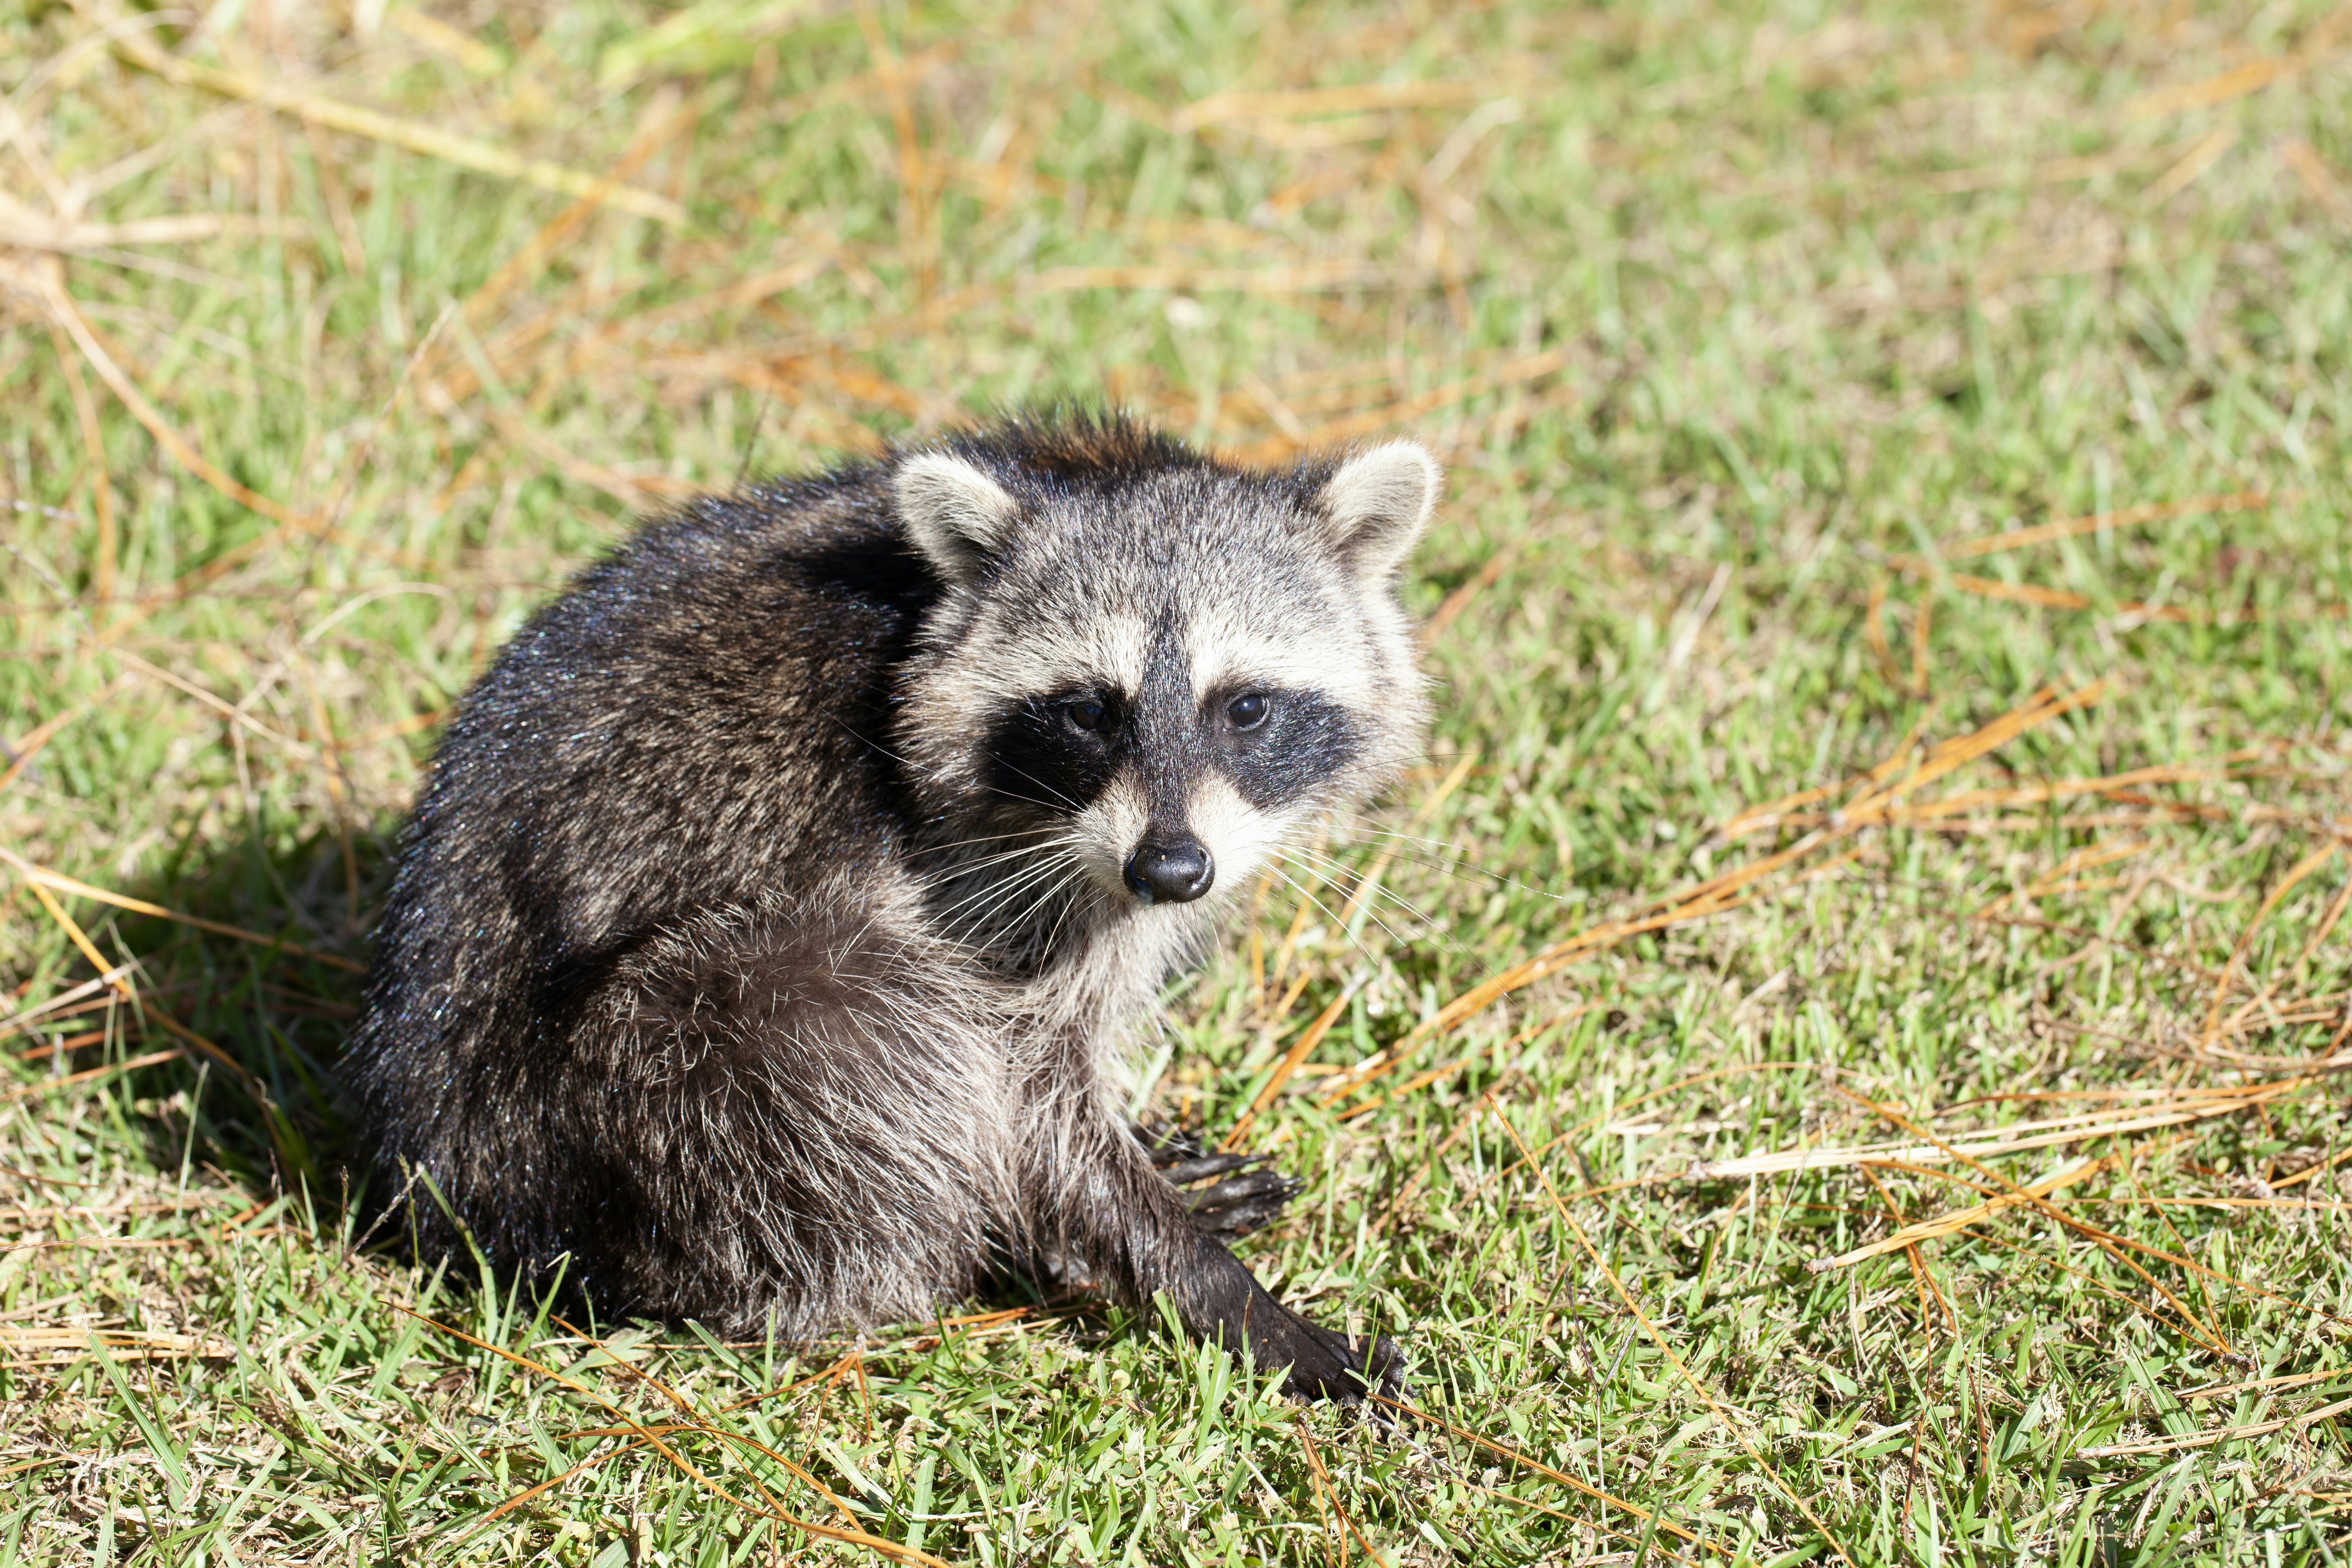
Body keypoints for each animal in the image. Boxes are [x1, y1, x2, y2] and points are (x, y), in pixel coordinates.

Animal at [348, 416, 1436, 1402]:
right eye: (1089, 710)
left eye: (1244, 707)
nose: (1171, 871)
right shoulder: (976, 872)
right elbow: (1029, 1100)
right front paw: (1219, 1290)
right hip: (651, 1077)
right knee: (863, 1034)